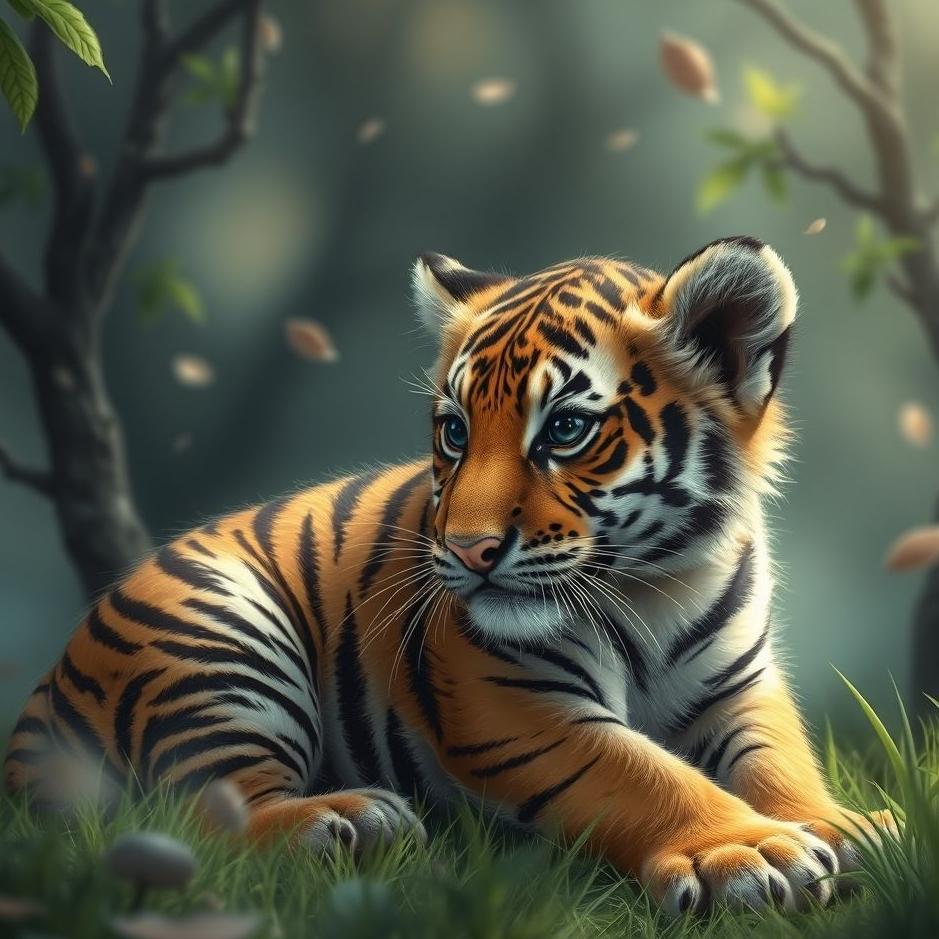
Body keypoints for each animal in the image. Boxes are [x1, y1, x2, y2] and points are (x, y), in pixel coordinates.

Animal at [5, 236, 895, 915]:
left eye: (564, 429)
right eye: (454, 431)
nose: (466, 550)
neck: (654, 587)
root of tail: (38, 702)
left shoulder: (738, 685)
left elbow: (777, 757)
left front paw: (838, 825)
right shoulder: (511, 702)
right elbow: (640, 773)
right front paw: (747, 850)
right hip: (222, 645)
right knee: (203, 811)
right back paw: (347, 818)